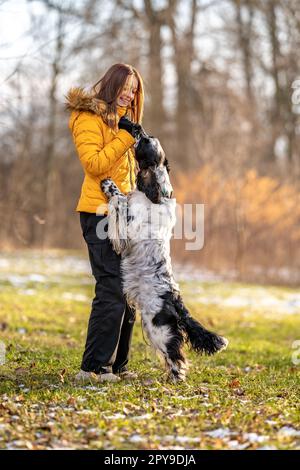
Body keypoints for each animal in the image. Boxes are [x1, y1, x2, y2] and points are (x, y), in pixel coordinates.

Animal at [99, 129, 229, 382]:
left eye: (145, 141)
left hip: (158, 327)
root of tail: (176, 300)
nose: (137, 130)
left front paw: (109, 184)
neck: (158, 192)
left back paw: (174, 380)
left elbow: (119, 199)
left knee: (177, 358)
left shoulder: (128, 230)